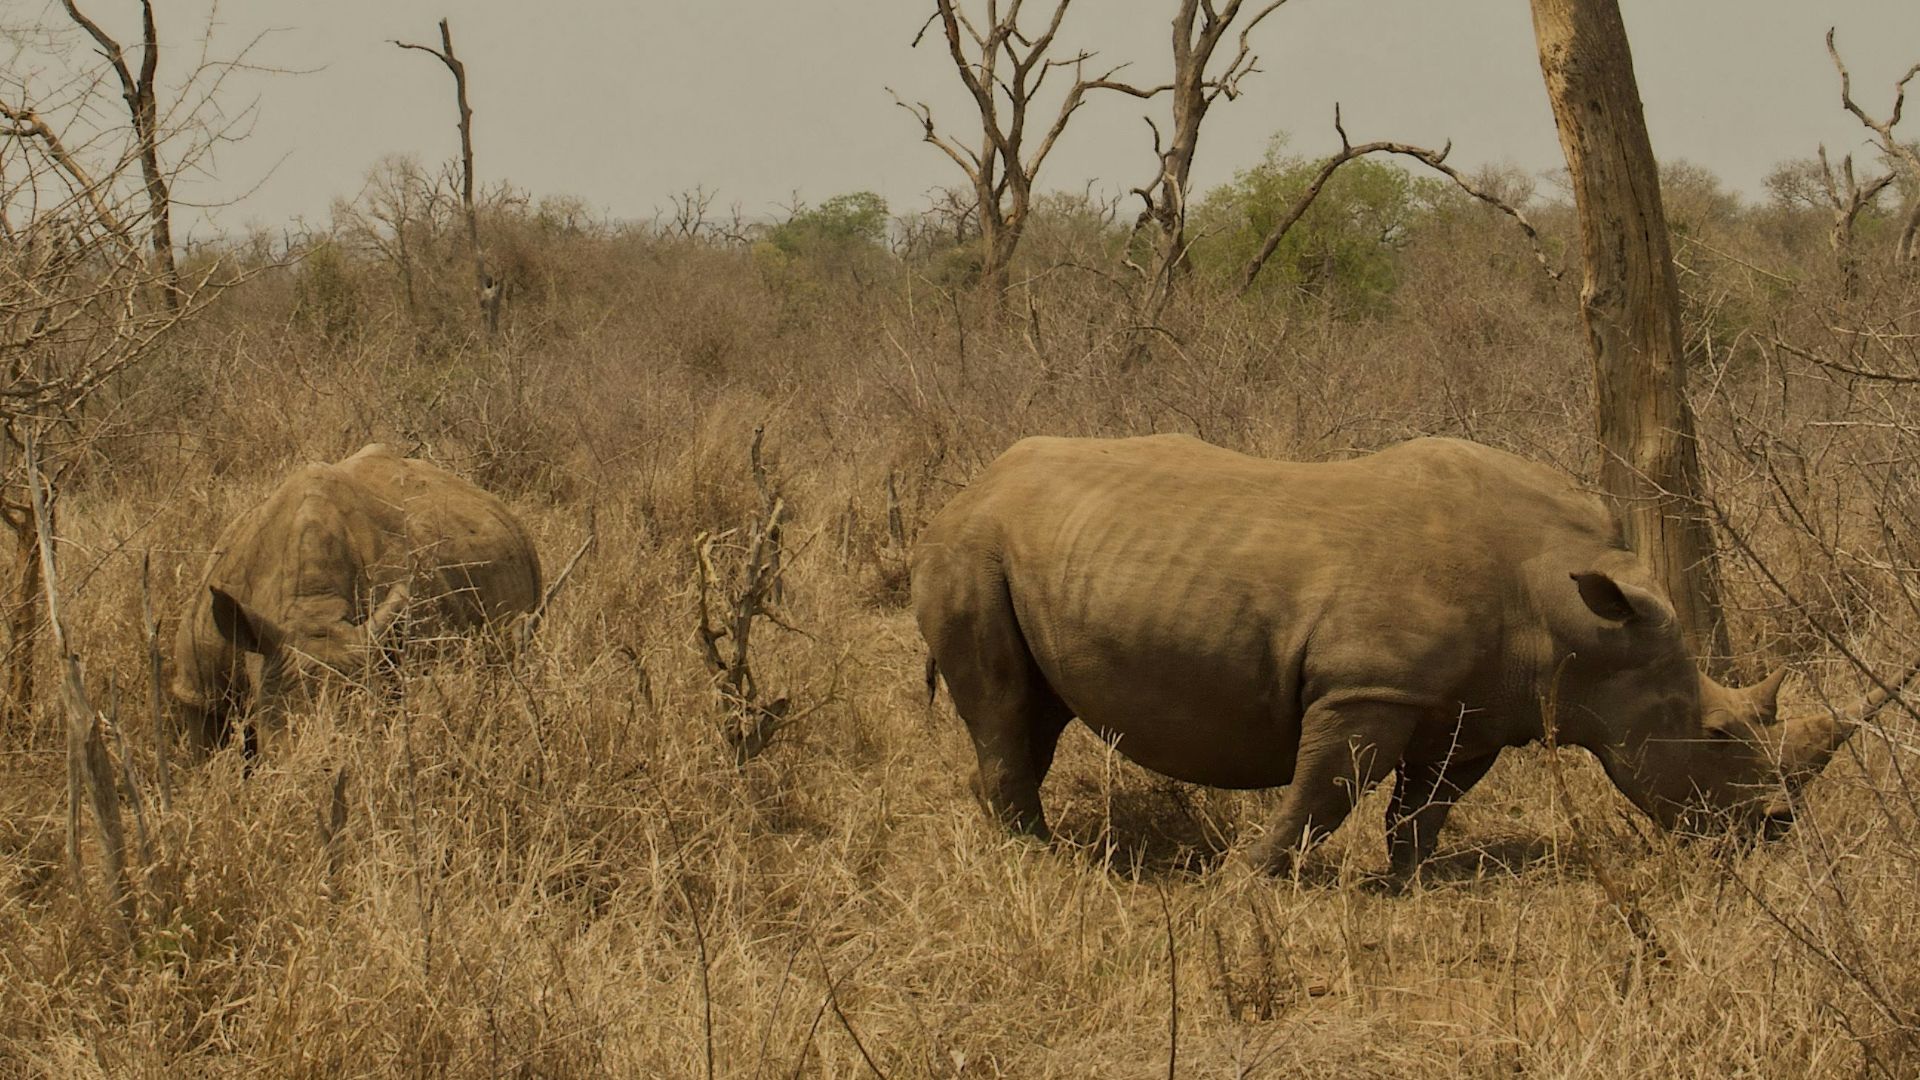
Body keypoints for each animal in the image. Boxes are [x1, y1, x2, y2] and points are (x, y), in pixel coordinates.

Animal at [912, 434, 1910, 879]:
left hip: (1024, 552)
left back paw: (1027, 846)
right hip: (969, 549)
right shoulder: (1370, 687)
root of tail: (964, 487)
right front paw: (1249, 879)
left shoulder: (1478, 709)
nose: (1777, 830)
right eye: (1716, 734)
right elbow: (1326, 790)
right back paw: (1041, 864)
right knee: (1007, 711)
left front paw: (1412, 881)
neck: (1581, 620)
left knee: (1035, 716)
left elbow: (1427, 802)